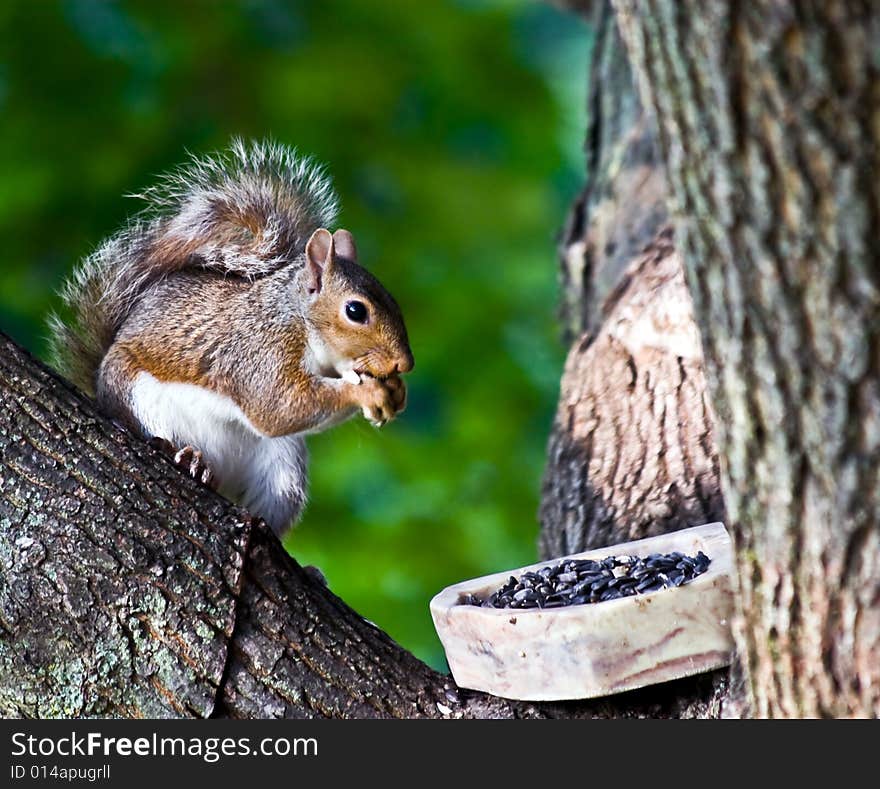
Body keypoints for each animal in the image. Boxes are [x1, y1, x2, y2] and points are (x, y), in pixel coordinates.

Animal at [49, 140, 414, 536]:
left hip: (283, 469)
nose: (404, 363)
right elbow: (279, 407)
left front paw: (394, 391)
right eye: (355, 311)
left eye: (394, 300)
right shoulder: (260, 350)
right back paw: (188, 457)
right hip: (138, 398)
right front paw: (368, 392)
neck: (298, 320)